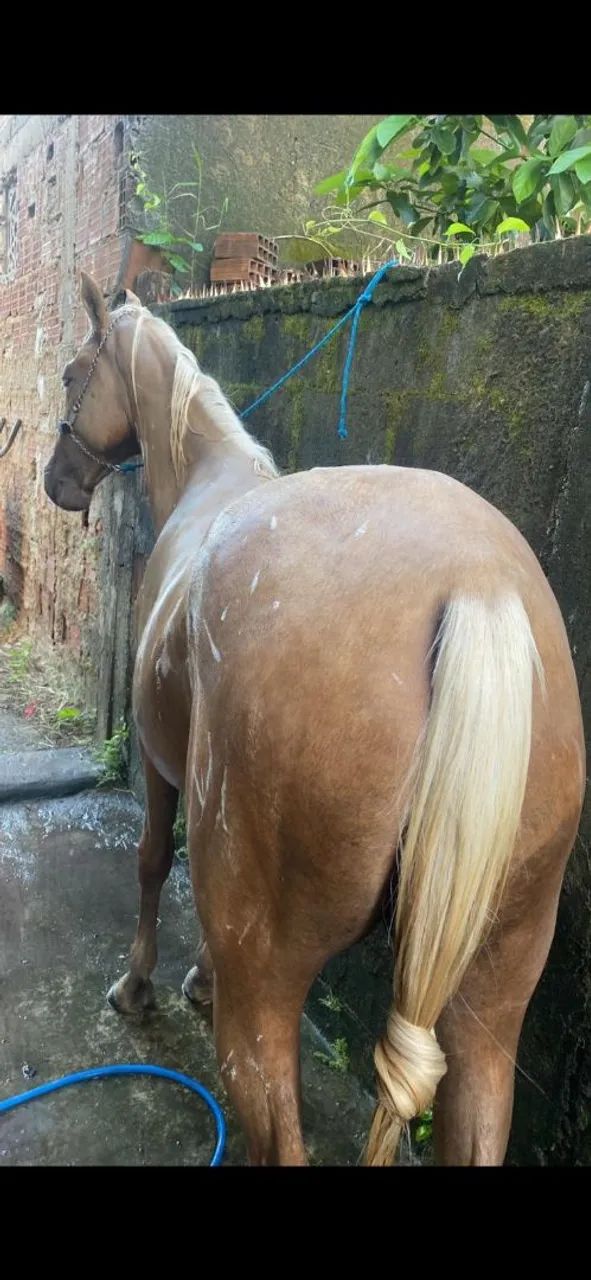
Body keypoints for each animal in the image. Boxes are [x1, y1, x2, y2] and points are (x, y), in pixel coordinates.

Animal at [44, 271, 585, 1166]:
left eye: (70, 376)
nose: (58, 481)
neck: (206, 478)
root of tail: (475, 581)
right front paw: (196, 980)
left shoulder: (159, 764)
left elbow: (154, 861)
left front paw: (140, 985)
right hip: (493, 995)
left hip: (269, 990)